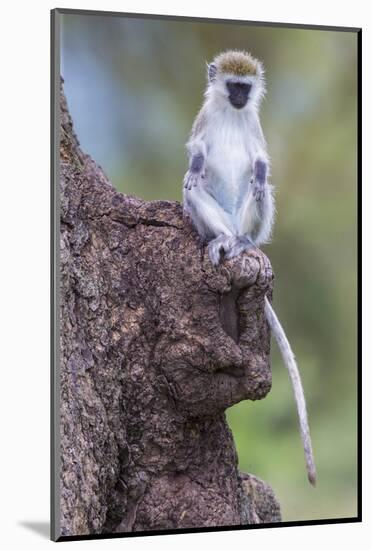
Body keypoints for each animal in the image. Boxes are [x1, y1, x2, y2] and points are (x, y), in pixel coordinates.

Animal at [183, 48, 316, 488]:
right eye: (232, 87)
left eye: (246, 87)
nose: (241, 98)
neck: (230, 112)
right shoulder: (204, 117)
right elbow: (197, 151)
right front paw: (196, 164)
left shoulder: (254, 126)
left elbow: (260, 159)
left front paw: (259, 171)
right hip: (214, 216)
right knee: (193, 190)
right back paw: (220, 241)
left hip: (250, 221)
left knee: (260, 193)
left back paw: (242, 242)